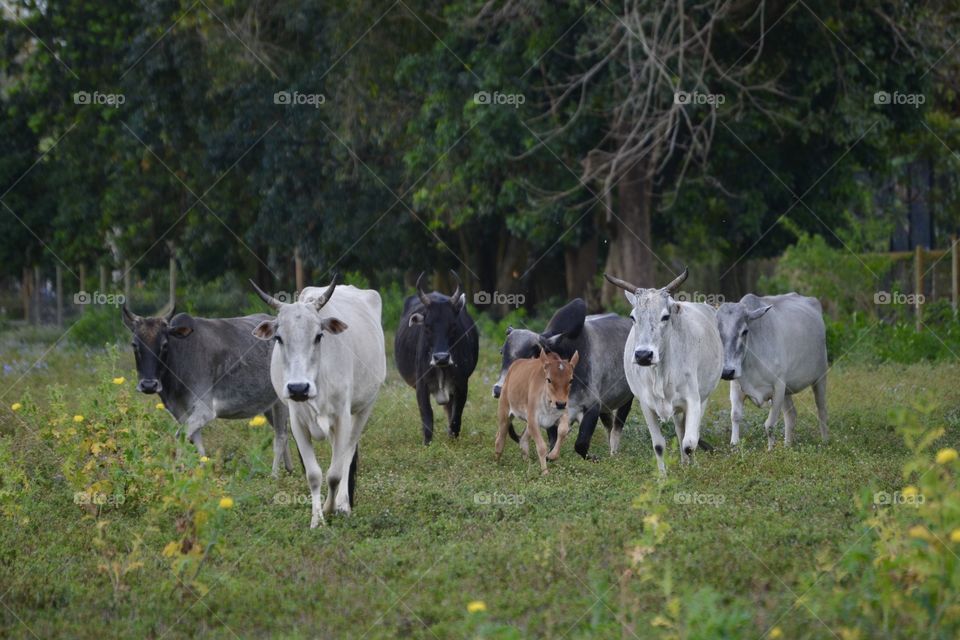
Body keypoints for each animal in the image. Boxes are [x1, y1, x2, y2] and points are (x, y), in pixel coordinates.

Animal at [251, 278, 386, 528]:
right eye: (278, 338)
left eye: (318, 336)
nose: (298, 388)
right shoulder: (297, 422)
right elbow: (314, 474)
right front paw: (317, 519)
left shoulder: (343, 417)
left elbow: (335, 473)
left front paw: (331, 507)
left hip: (364, 408)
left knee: (348, 452)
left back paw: (344, 503)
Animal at [392, 272, 478, 444]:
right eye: (427, 326)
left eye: (453, 325)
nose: (441, 357)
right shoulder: (421, 385)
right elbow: (427, 416)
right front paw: (427, 444)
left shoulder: (461, 385)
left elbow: (456, 418)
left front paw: (452, 441)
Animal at [492, 300, 632, 460]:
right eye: (502, 352)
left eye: (530, 356)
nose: (498, 390)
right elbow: (553, 443)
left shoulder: (593, 406)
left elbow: (581, 444)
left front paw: (594, 458)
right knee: (609, 426)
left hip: (628, 398)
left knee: (616, 429)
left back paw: (614, 453)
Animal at [608, 268, 720, 472]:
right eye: (633, 317)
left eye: (665, 317)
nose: (643, 355)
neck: (660, 373)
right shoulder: (646, 404)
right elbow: (659, 445)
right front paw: (662, 476)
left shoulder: (693, 399)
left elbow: (690, 443)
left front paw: (691, 471)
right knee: (679, 429)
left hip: (704, 397)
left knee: (689, 434)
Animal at [716, 292, 828, 450]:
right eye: (718, 332)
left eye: (744, 331)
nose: (727, 372)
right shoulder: (736, 387)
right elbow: (735, 416)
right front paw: (734, 446)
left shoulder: (778, 387)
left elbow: (769, 425)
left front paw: (770, 450)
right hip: (788, 390)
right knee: (791, 414)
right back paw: (787, 445)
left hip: (820, 378)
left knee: (821, 409)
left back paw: (825, 440)